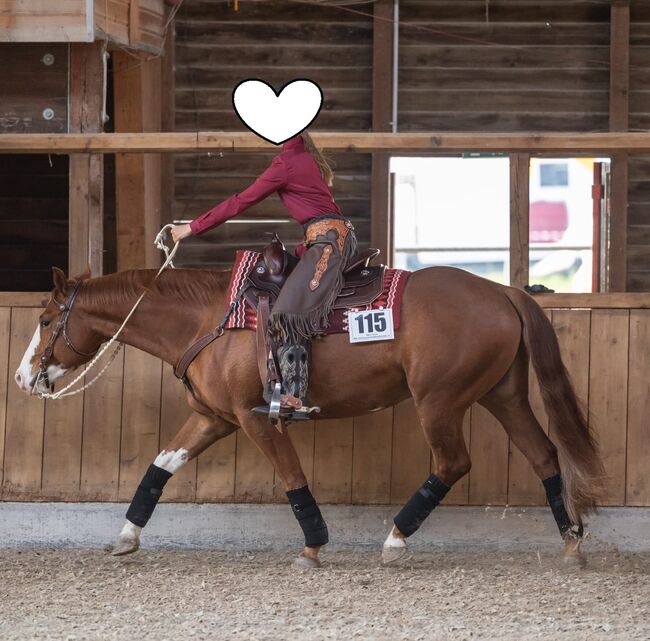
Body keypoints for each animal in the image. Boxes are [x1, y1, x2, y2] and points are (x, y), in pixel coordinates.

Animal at [15, 264, 604, 564]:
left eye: (44, 320)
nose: (23, 378)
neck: (209, 318)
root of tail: (503, 292)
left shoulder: (255, 418)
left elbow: (292, 476)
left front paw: (314, 543)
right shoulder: (213, 418)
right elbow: (158, 468)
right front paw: (126, 536)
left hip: (440, 401)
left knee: (452, 463)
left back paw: (395, 540)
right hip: (502, 396)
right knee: (544, 455)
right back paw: (571, 542)